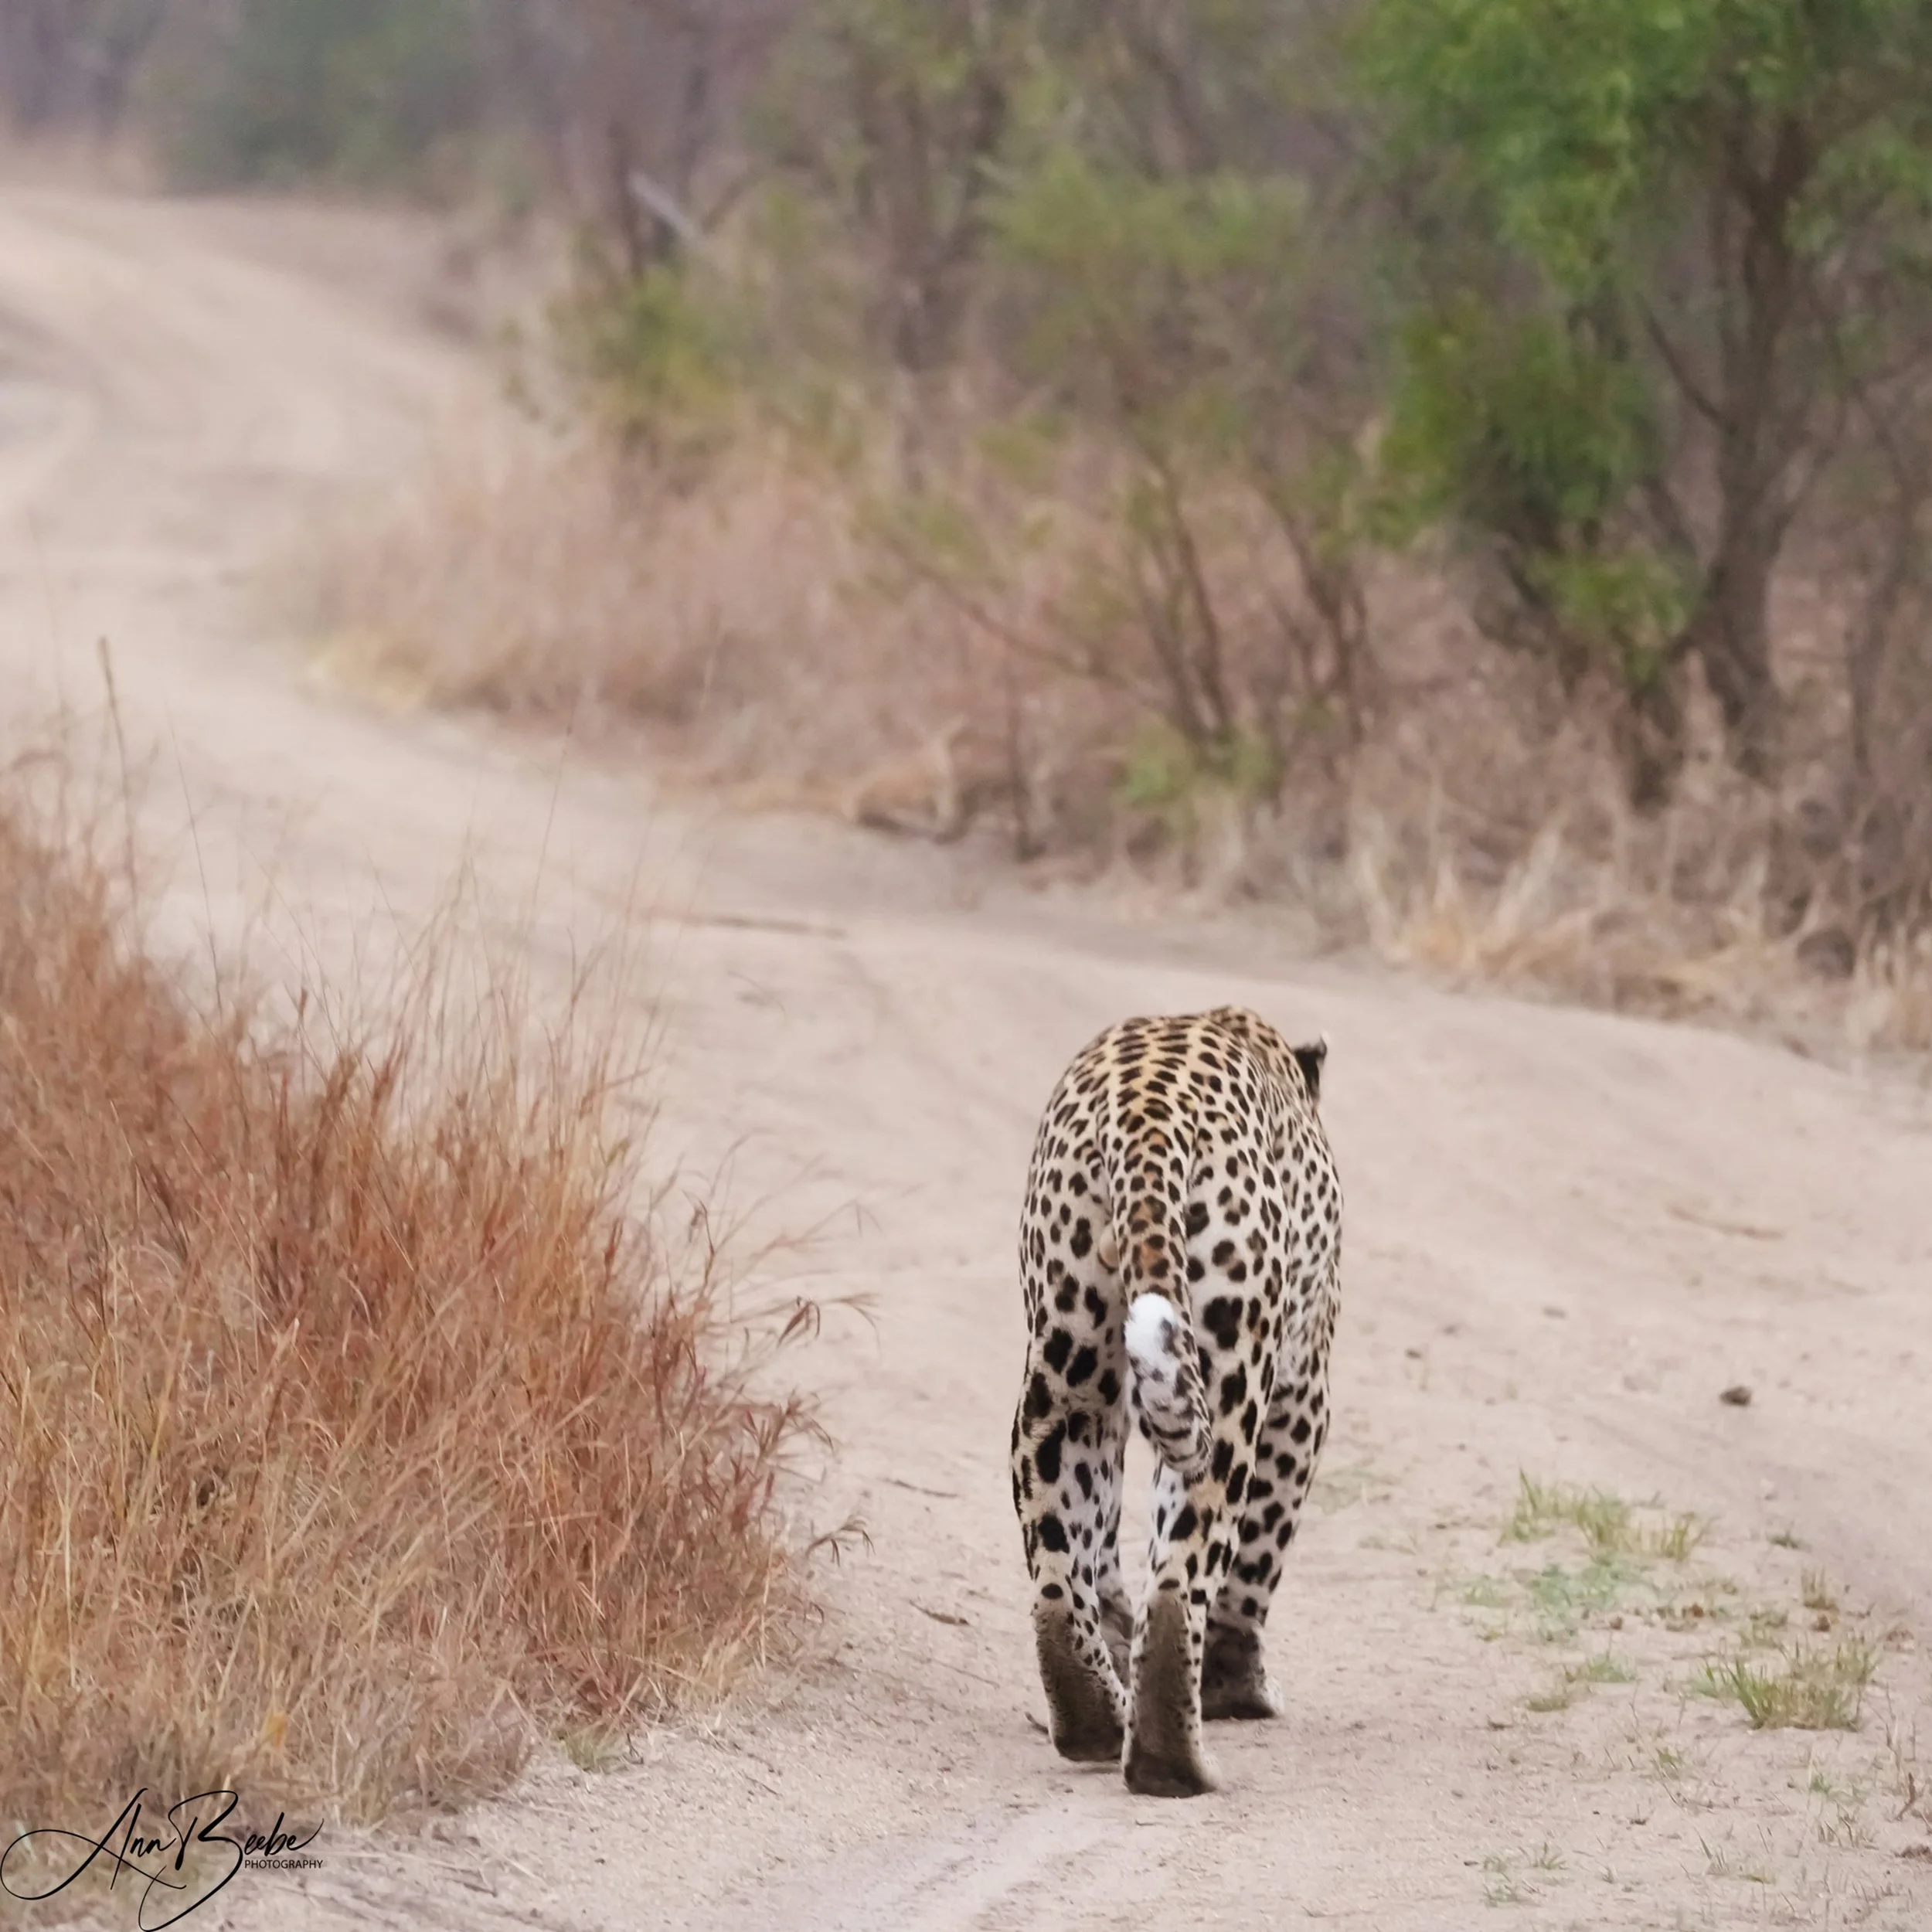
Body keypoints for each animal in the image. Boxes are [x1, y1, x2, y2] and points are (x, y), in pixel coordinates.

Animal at [1010, 1005, 1342, 1798]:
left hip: (1066, 1377)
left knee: (1057, 1576)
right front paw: (1236, 1687)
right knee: (1181, 1575)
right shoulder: (1303, 1390)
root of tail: (1148, 1117)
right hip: (1230, 1378)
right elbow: (1257, 1559)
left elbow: (1099, 1547)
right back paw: (1175, 1759)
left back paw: (1097, 1722)